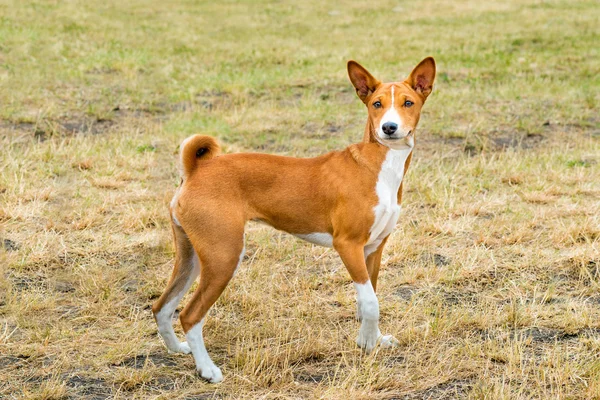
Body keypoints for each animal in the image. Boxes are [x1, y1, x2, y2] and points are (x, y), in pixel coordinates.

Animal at [152, 57, 436, 382]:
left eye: (407, 102)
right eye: (377, 104)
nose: (389, 127)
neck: (377, 167)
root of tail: (196, 170)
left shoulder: (373, 248)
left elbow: (371, 298)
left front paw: (374, 339)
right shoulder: (347, 245)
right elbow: (370, 303)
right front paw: (365, 343)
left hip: (193, 256)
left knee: (162, 307)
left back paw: (177, 349)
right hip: (224, 256)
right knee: (189, 314)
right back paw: (208, 369)